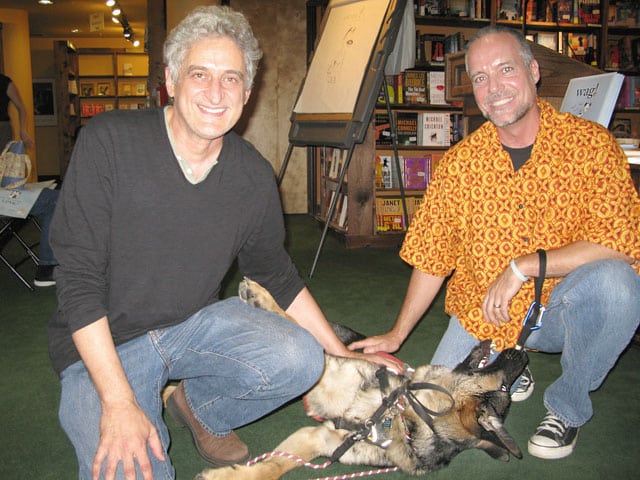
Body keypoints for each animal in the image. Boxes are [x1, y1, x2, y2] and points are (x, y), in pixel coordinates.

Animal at [191, 280, 528, 478]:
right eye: (505, 385)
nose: (522, 354)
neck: (403, 415)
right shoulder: (328, 369)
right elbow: (293, 320)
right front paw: (262, 297)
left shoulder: (321, 439)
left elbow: (273, 467)